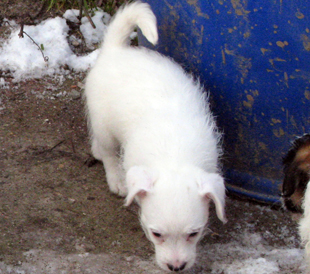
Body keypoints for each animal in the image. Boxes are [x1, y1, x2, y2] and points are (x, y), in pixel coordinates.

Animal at [85, 1, 225, 272]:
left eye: (194, 234)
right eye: (156, 234)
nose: (176, 267)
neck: (175, 154)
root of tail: (115, 50)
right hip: (104, 124)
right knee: (107, 151)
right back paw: (115, 178)